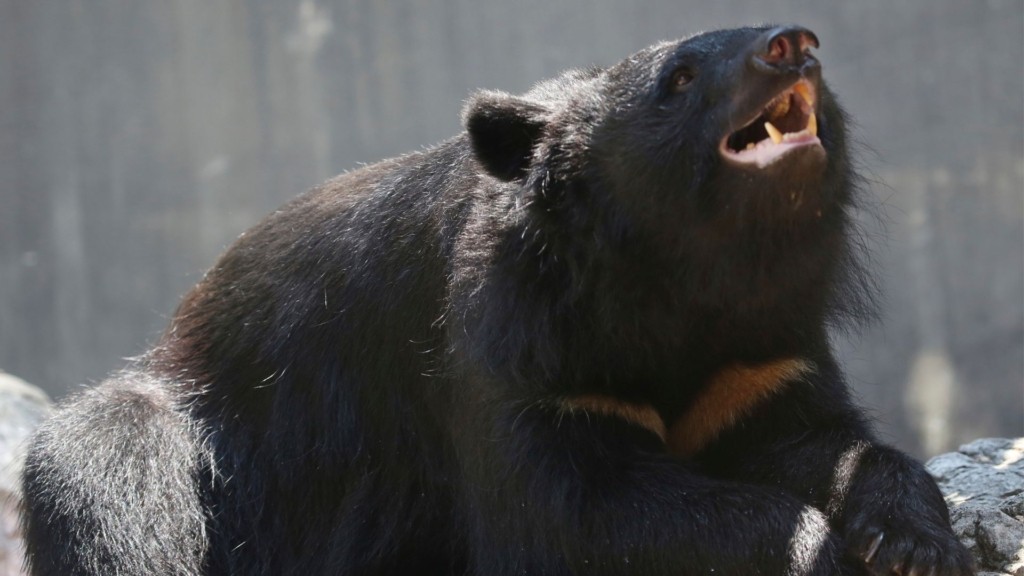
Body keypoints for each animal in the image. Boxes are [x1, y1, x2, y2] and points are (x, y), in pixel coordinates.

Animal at [20, 24, 973, 576]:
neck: (681, 280)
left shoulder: (761, 349)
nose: (792, 42)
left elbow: (815, 438)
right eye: (679, 77)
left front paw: (911, 544)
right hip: (192, 430)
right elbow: (573, 512)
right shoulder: (519, 357)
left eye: (790, 47)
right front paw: (820, 552)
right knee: (108, 482)